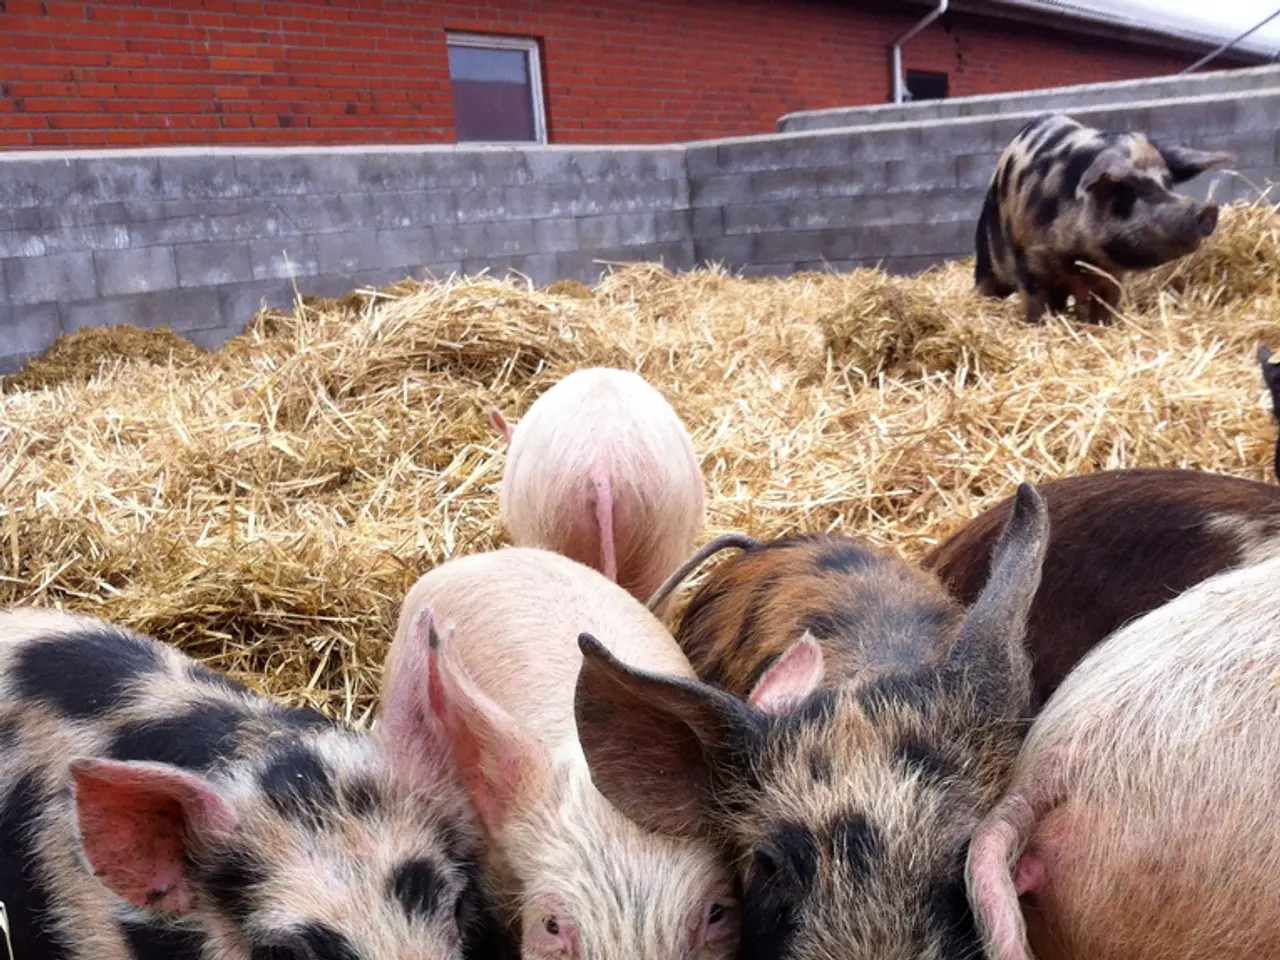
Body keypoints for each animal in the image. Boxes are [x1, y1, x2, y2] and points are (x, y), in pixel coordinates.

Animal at [974, 112, 1232, 323]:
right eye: (1126, 190)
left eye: (1168, 182)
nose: (1208, 210)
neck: (1079, 258)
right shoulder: (1030, 265)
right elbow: (1036, 309)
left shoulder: (1111, 277)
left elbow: (1105, 308)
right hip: (986, 255)